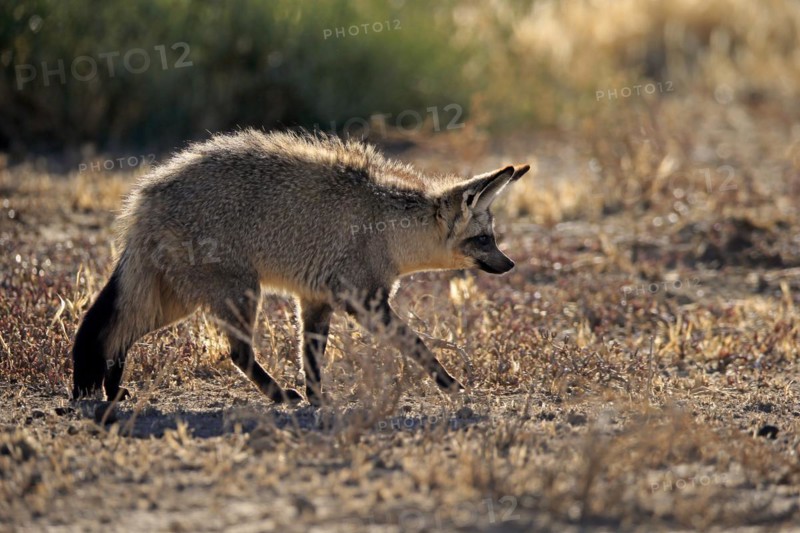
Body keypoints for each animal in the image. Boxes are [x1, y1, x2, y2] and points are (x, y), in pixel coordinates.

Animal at [71, 129, 529, 406]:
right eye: (485, 240)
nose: (510, 265)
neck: (389, 227)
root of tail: (145, 195)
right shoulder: (363, 303)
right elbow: (417, 345)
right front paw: (450, 384)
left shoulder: (315, 301)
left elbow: (311, 359)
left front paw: (318, 400)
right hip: (236, 295)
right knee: (237, 352)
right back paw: (276, 395)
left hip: (174, 303)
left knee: (115, 334)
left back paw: (109, 391)